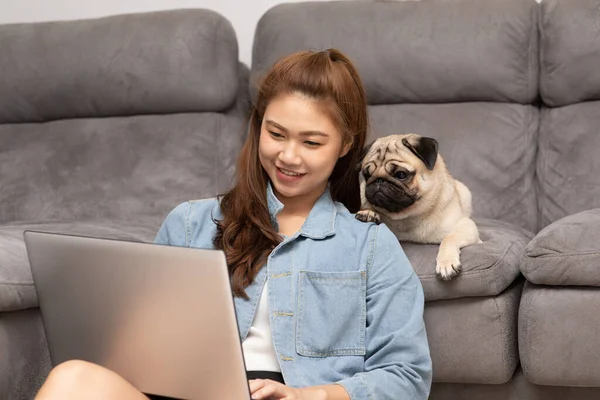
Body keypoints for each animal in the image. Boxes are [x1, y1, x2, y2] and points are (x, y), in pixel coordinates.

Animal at [358, 134, 480, 282]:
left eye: (401, 175)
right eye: (367, 175)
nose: (379, 181)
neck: (407, 216)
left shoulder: (467, 227)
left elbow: (449, 238)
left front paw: (446, 263)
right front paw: (368, 212)